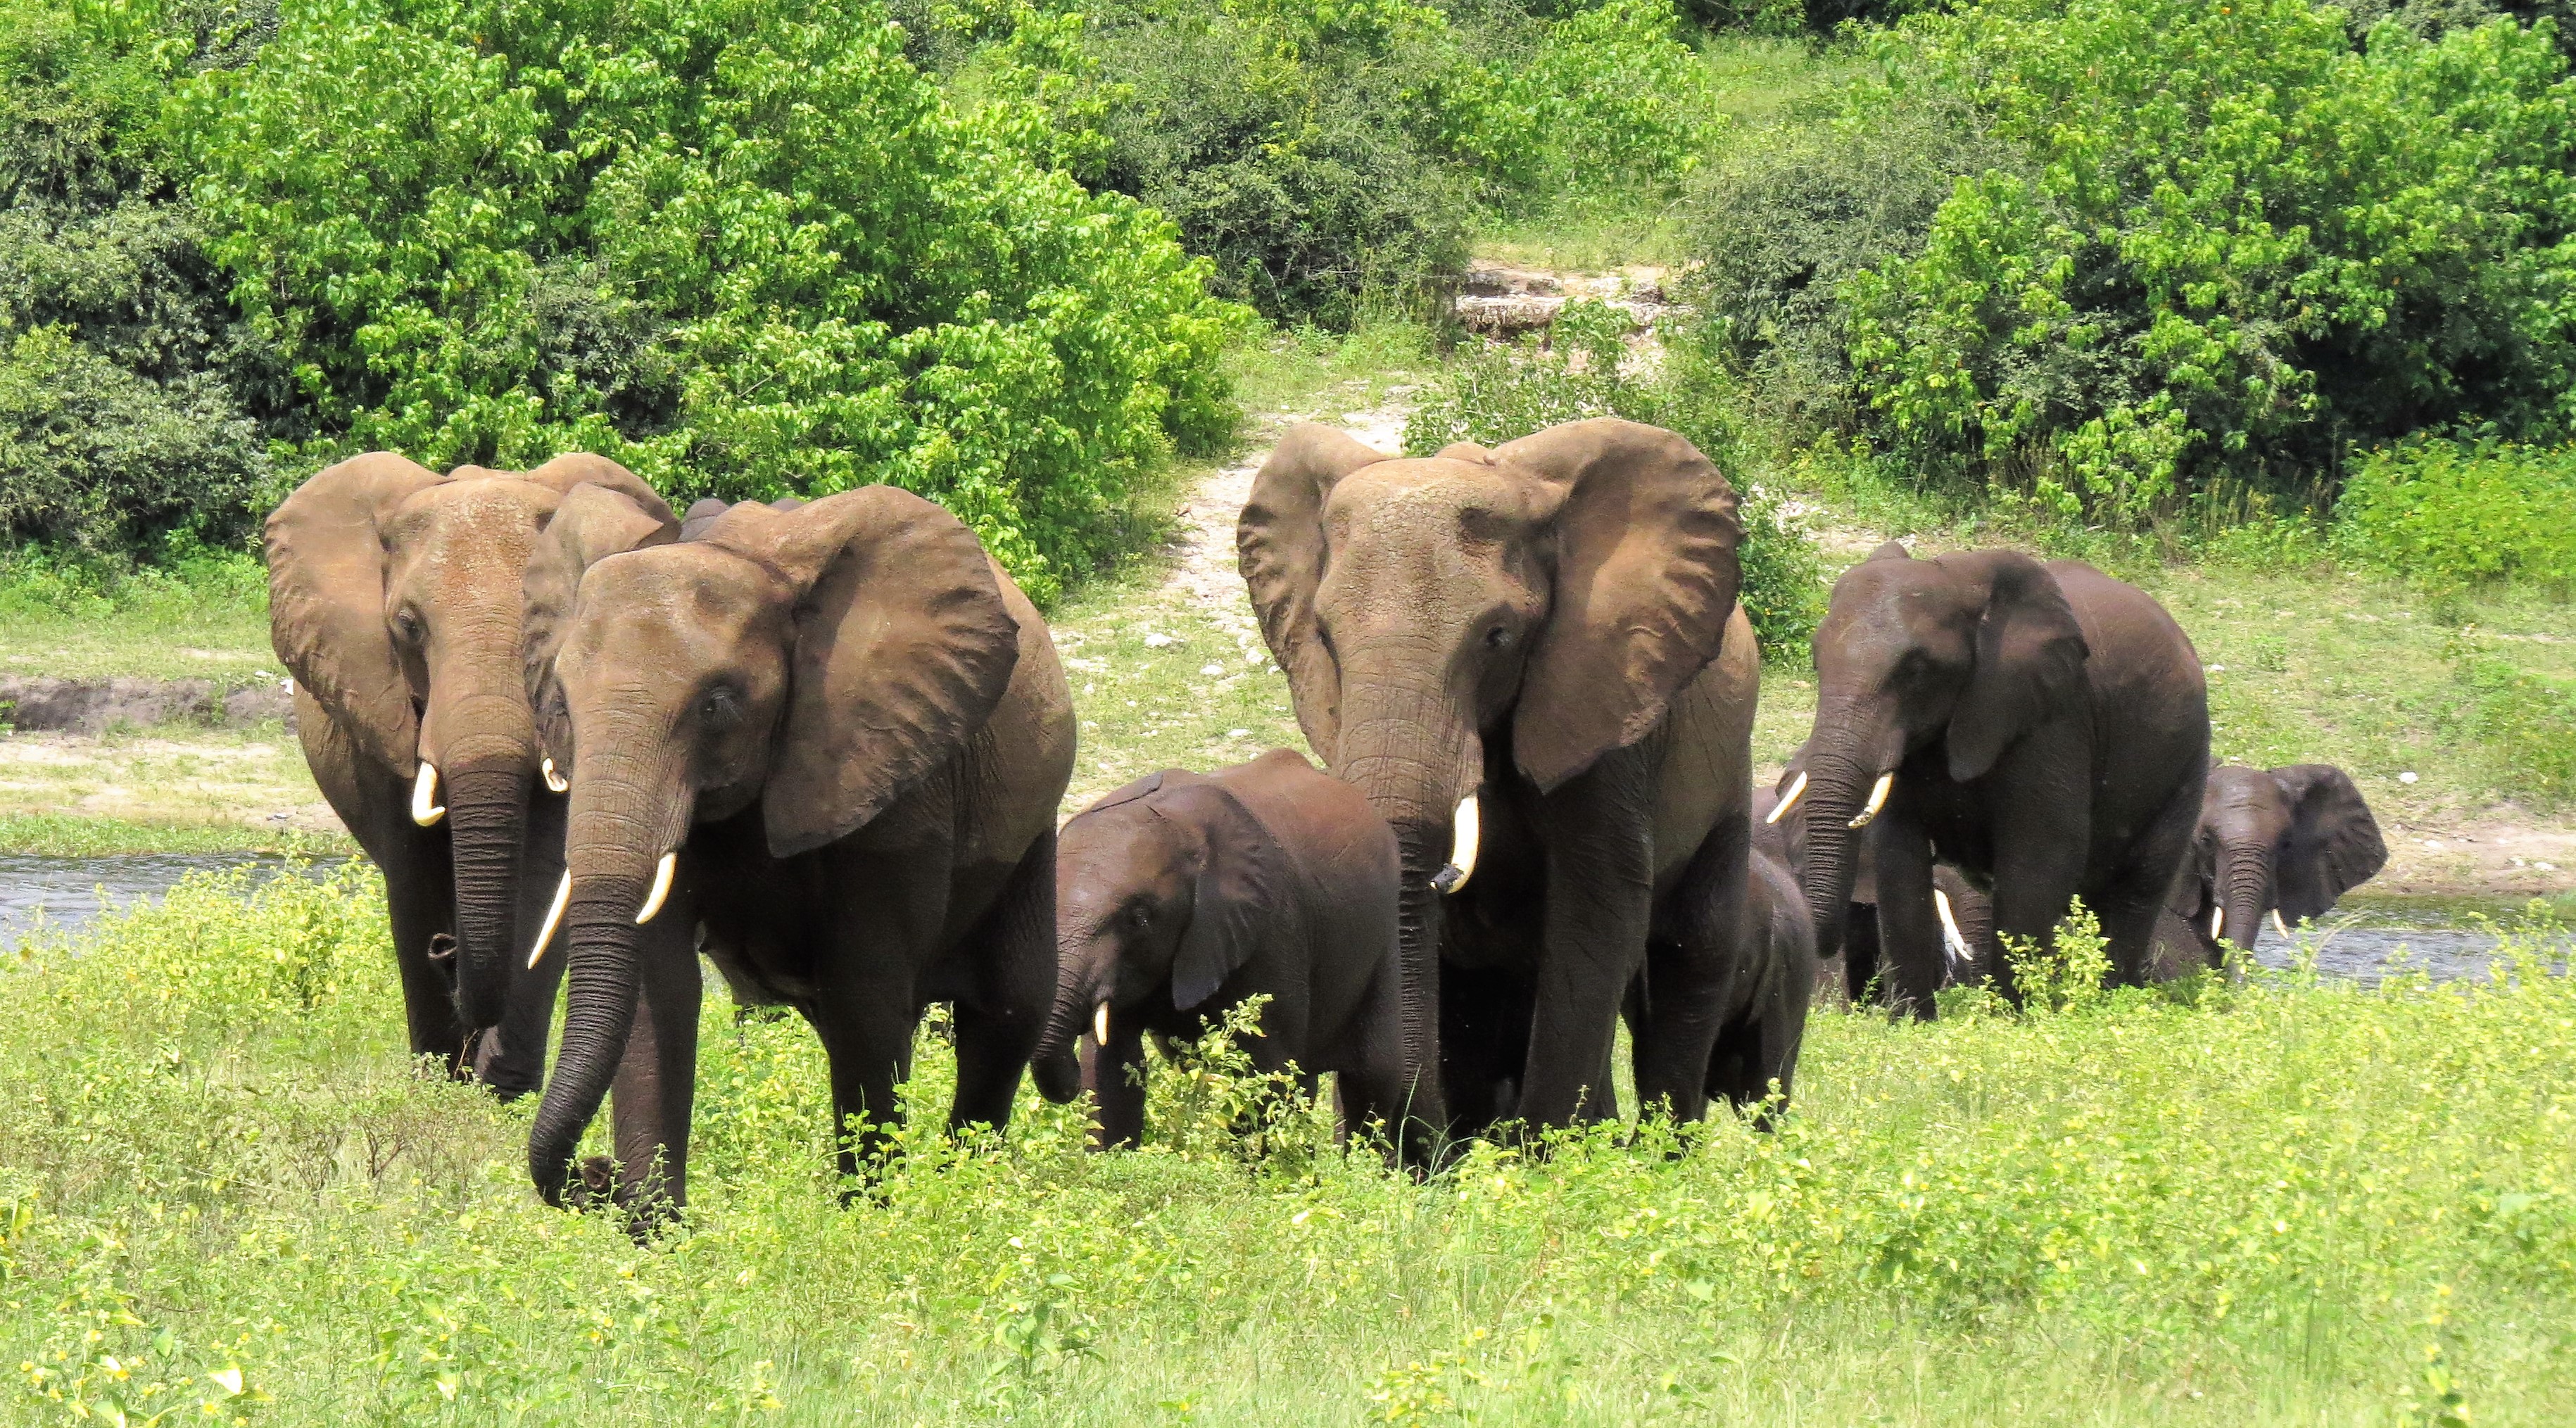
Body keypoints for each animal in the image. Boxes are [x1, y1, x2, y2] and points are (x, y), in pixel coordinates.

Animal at [266, 451, 677, 1096]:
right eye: (409, 626)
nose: (447, 951)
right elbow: (412, 871)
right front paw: (440, 1082)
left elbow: (544, 872)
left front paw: (502, 1089)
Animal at [516, 486, 1075, 1211]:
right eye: (560, 704)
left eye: (716, 705)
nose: (595, 1172)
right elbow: (659, 989)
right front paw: (657, 1229)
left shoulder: (892, 773)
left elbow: (867, 993)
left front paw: (866, 1219)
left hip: (1028, 831)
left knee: (1005, 1011)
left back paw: (965, 1192)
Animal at [1031, 748, 1411, 1150]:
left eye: (1140, 920)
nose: (1065, 1079)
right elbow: (1110, 1068)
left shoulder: (1269, 930)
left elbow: (1265, 1070)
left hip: (1383, 938)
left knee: (1371, 1076)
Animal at [1239, 417, 1765, 1147]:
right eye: (1323, 635)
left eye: (1497, 636)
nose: (1425, 1155)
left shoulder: (1605, 706)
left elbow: (1598, 912)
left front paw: (1555, 1158)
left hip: (1728, 772)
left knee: (1692, 954)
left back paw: (1657, 1154)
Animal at [1783, 542, 2209, 1015]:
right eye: (1817, 660)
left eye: (1917, 670)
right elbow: (1899, 858)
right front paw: (1912, 1022)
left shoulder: (2053, 717)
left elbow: (2042, 855)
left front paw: (2015, 1018)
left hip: (2187, 759)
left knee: (2138, 888)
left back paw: (2112, 1002)